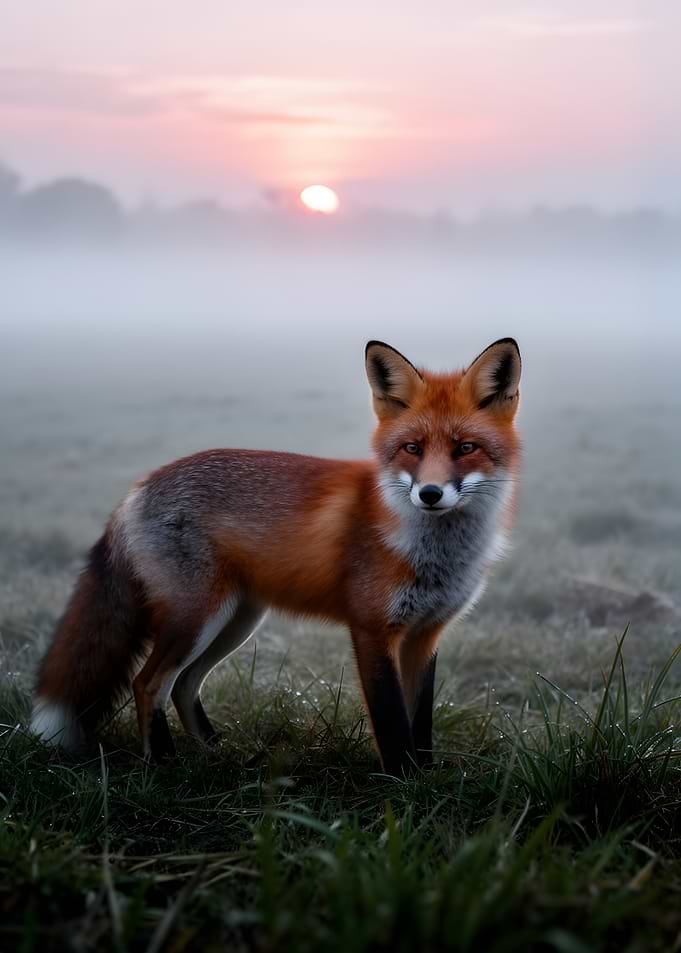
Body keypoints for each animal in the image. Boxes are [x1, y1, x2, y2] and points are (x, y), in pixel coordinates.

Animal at [31, 337, 521, 775]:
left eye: (465, 448)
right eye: (412, 448)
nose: (430, 494)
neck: (433, 555)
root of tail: (139, 487)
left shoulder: (425, 634)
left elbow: (420, 727)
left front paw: (426, 779)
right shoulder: (372, 629)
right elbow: (393, 725)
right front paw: (404, 790)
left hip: (236, 621)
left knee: (184, 684)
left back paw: (214, 755)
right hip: (196, 618)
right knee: (148, 682)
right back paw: (164, 767)